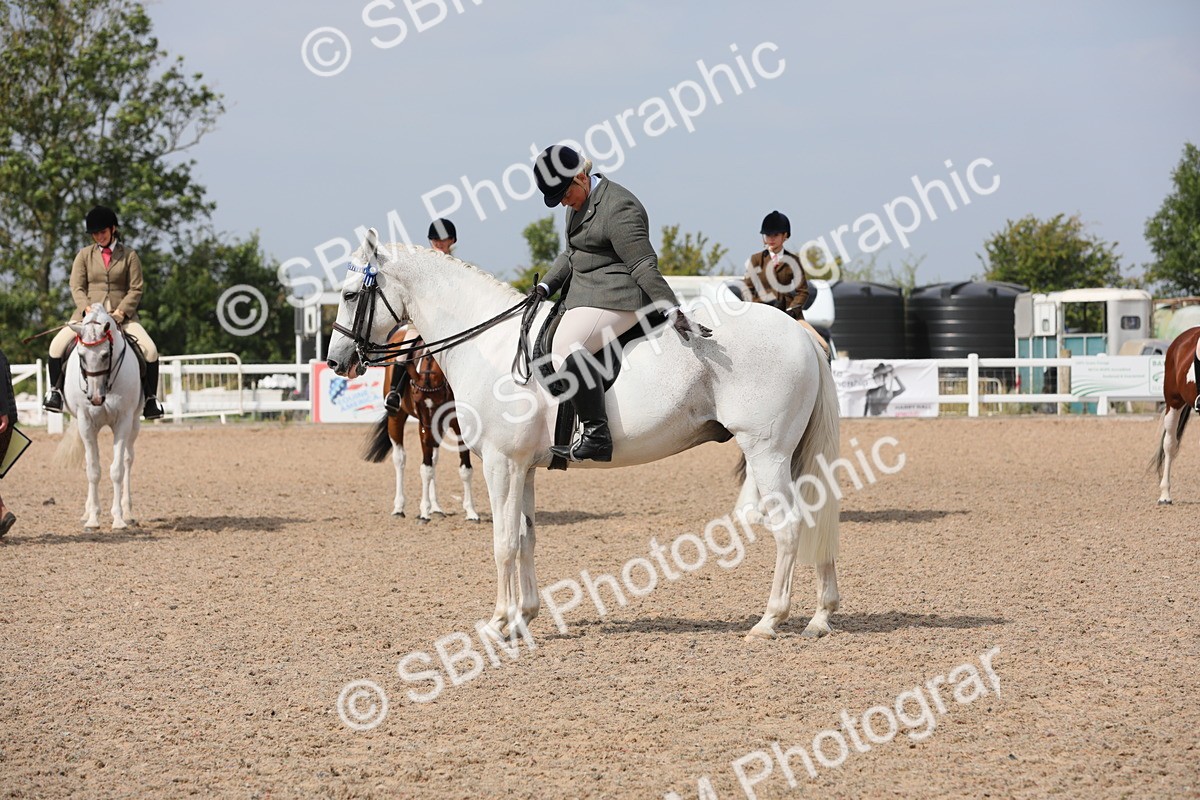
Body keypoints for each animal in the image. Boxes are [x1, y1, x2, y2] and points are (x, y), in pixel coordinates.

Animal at [53, 303, 142, 529]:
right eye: (81, 355)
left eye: (104, 355)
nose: (95, 398)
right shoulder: (86, 422)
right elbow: (93, 469)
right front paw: (93, 518)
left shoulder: (123, 421)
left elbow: (117, 470)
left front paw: (118, 519)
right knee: (88, 461)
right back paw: (87, 512)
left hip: (135, 423)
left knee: (128, 460)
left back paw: (128, 512)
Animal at [361, 326, 480, 523]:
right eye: (419, 397)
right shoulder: (425, 422)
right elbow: (426, 468)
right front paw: (424, 510)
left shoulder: (455, 425)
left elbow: (464, 469)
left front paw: (470, 511)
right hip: (397, 418)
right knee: (400, 459)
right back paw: (399, 508)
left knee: (433, 458)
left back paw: (436, 507)